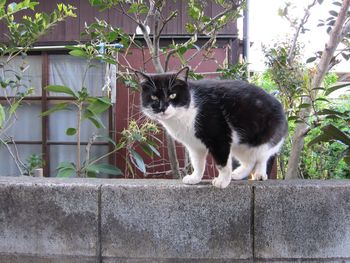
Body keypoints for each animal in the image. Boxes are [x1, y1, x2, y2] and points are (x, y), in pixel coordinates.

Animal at [135, 67, 288, 189]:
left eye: (172, 95)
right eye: (154, 97)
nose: (162, 108)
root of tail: (281, 105)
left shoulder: (219, 137)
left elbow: (222, 164)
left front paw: (222, 181)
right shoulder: (194, 145)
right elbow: (197, 163)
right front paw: (195, 178)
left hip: (264, 139)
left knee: (261, 157)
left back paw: (260, 174)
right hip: (241, 145)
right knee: (249, 161)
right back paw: (238, 174)